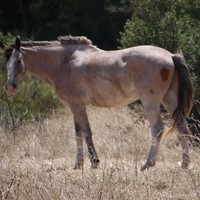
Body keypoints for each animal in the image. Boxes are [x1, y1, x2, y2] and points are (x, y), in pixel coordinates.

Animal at [0, 36, 194, 170]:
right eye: (5, 62)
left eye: (18, 61)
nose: (10, 87)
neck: (65, 62)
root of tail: (170, 55)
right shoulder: (75, 106)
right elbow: (78, 134)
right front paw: (78, 163)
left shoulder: (78, 106)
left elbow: (86, 132)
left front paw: (94, 162)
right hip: (169, 100)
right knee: (182, 127)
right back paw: (184, 163)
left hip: (150, 101)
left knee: (157, 128)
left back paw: (148, 163)